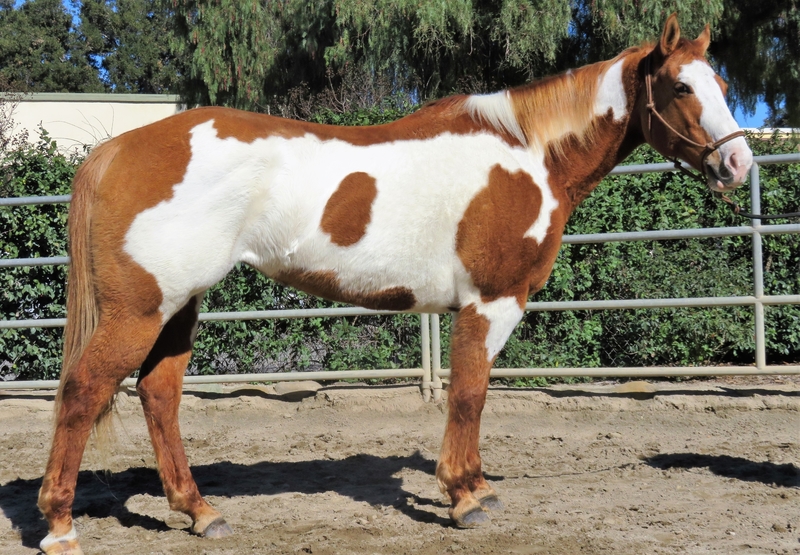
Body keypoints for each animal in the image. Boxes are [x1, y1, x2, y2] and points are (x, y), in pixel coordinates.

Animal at [37, 14, 752, 555]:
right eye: (681, 86)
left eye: (720, 81)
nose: (739, 162)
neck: (529, 155)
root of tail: (117, 149)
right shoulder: (491, 302)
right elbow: (469, 396)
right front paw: (466, 497)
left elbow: (471, 396)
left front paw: (475, 488)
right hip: (140, 309)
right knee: (82, 391)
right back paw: (61, 527)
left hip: (178, 306)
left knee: (158, 394)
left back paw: (200, 512)